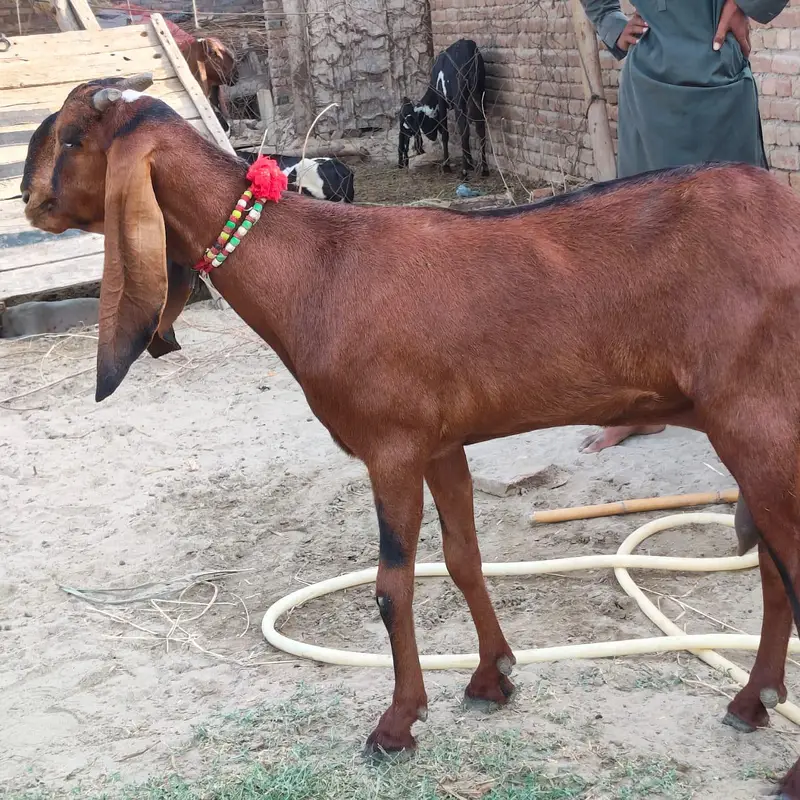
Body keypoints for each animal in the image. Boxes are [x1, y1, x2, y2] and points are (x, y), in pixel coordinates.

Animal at [23, 73, 800, 798]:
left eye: (72, 139)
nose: (28, 201)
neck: (317, 268)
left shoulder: (390, 445)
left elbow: (392, 586)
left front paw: (397, 725)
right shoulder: (441, 442)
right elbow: (462, 559)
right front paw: (492, 678)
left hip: (757, 419)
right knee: (772, 566)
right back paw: (752, 700)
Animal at [398, 38, 488, 178]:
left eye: (408, 122)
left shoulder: (441, 99)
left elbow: (445, 132)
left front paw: (446, 166)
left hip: (460, 99)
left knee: (464, 130)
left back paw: (465, 169)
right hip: (479, 92)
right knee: (480, 127)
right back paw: (484, 168)